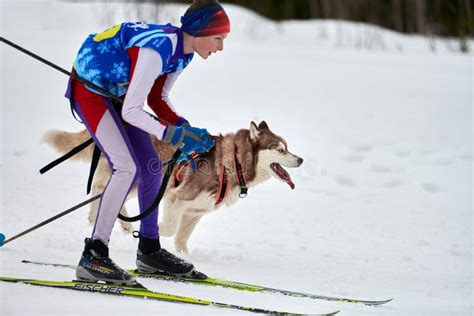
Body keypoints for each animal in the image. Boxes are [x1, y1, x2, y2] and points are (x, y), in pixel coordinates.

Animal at [44, 121, 304, 254]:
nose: (300, 159)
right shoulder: (176, 199)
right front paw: (152, 232)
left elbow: (182, 238)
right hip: (144, 177)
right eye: (280, 149)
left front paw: (183, 257)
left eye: (288, 147)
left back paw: (109, 220)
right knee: (101, 188)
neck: (234, 163)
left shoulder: (195, 212)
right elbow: (169, 229)